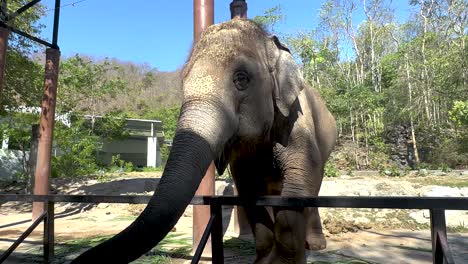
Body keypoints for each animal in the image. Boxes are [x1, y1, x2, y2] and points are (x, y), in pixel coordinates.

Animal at [72, 19, 336, 262]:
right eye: (183, 82)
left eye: (241, 78)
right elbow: (249, 192)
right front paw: (263, 260)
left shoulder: (296, 123)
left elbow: (297, 187)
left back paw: (316, 246)